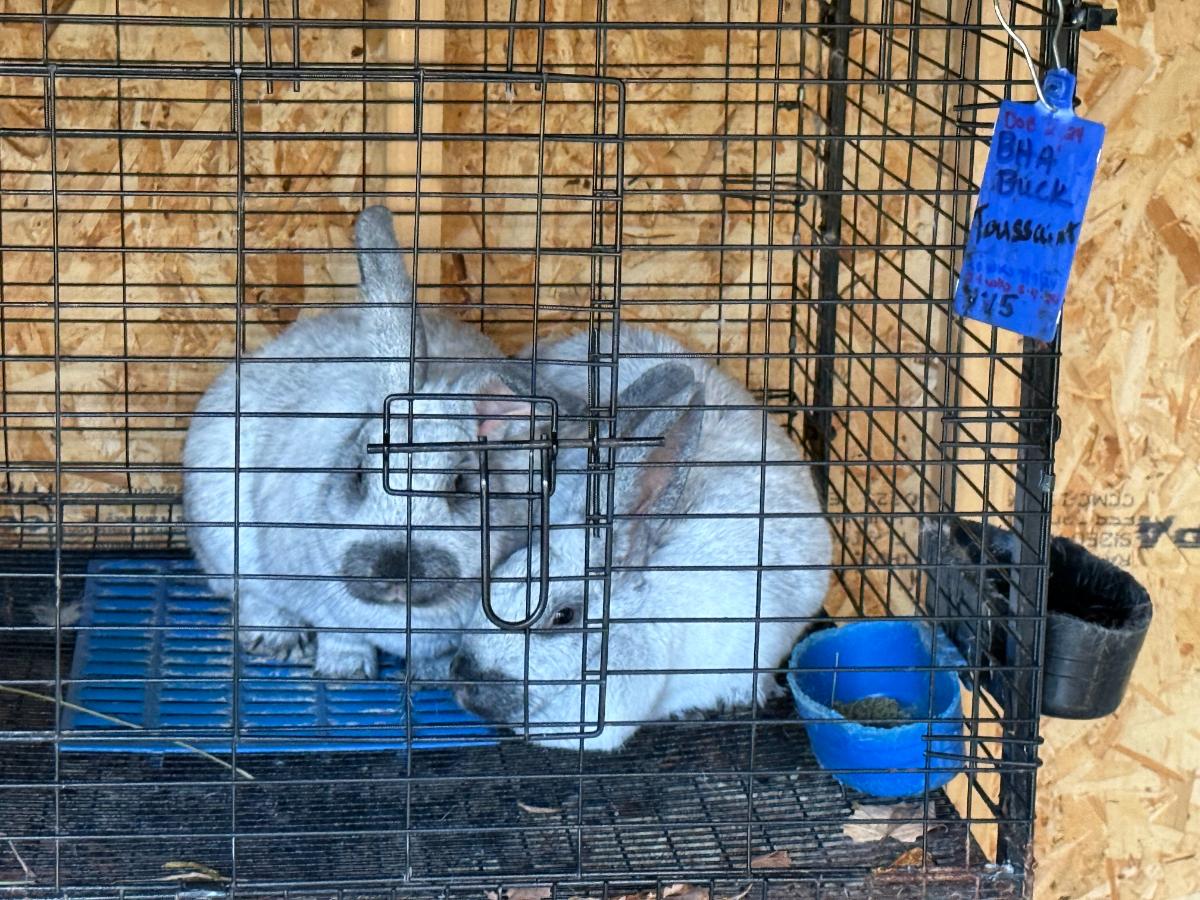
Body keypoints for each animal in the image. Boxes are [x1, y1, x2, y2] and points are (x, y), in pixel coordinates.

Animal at [182, 206, 538, 679]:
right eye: (356, 476)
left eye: (462, 484)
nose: (395, 570)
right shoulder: (318, 602)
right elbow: (341, 635)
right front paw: (344, 670)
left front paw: (433, 673)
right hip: (222, 543)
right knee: (252, 598)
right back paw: (277, 642)